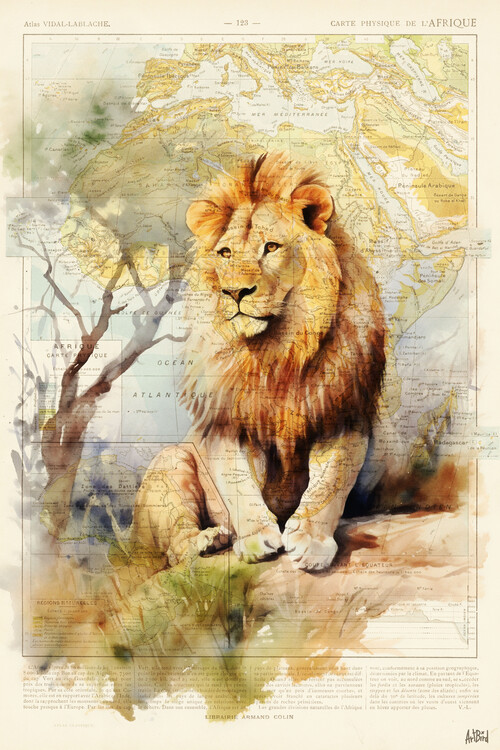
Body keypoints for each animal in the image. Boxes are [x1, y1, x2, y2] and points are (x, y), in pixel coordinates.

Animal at [131, 153, 386, 571]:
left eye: (271, 246)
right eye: (225, 253)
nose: (235, 291)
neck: (279, 350)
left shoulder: (341, 413)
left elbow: (329, 485)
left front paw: (312, 542)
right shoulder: (227, 420)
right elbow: (239, 483)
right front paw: (254, 540)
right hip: (171, 462)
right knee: (174, 550)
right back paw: (209, 541)